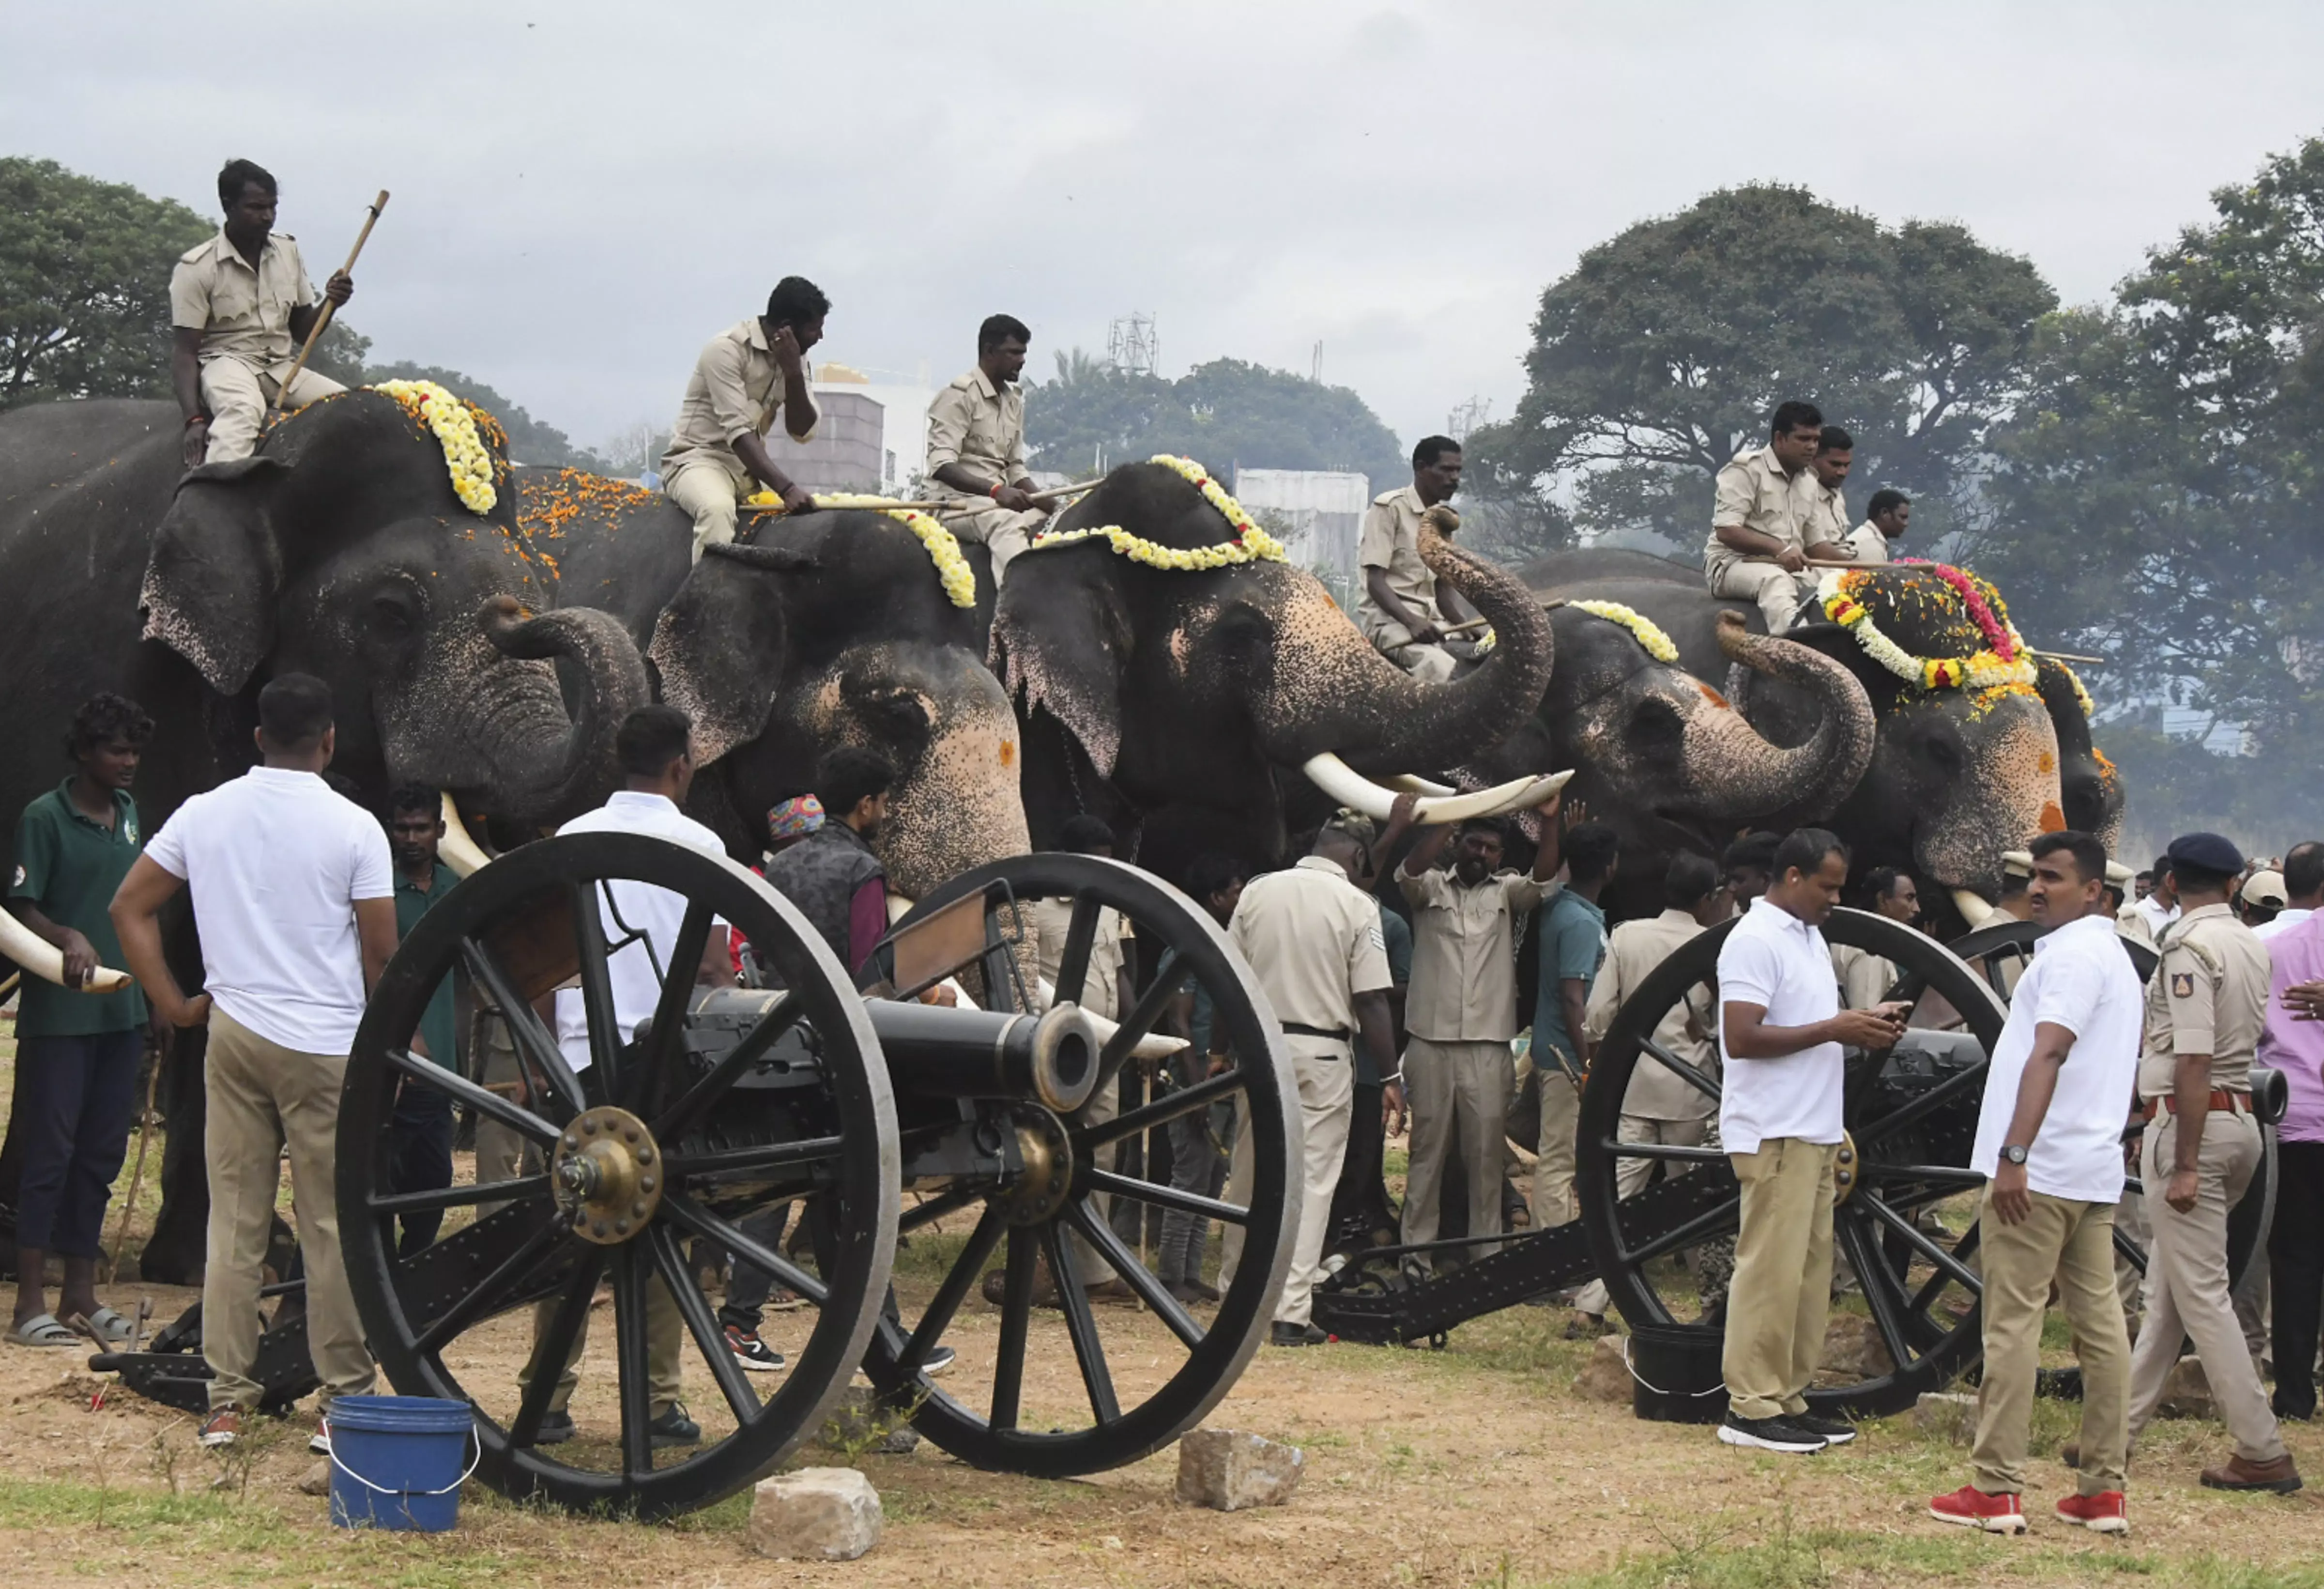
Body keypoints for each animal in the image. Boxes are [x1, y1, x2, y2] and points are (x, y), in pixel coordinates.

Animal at [0, 395, 655, 1282]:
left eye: (540, 587)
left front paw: (230, 1262)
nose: (515, 616)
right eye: (391, 614)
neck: (270, 460)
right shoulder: (114, 670)